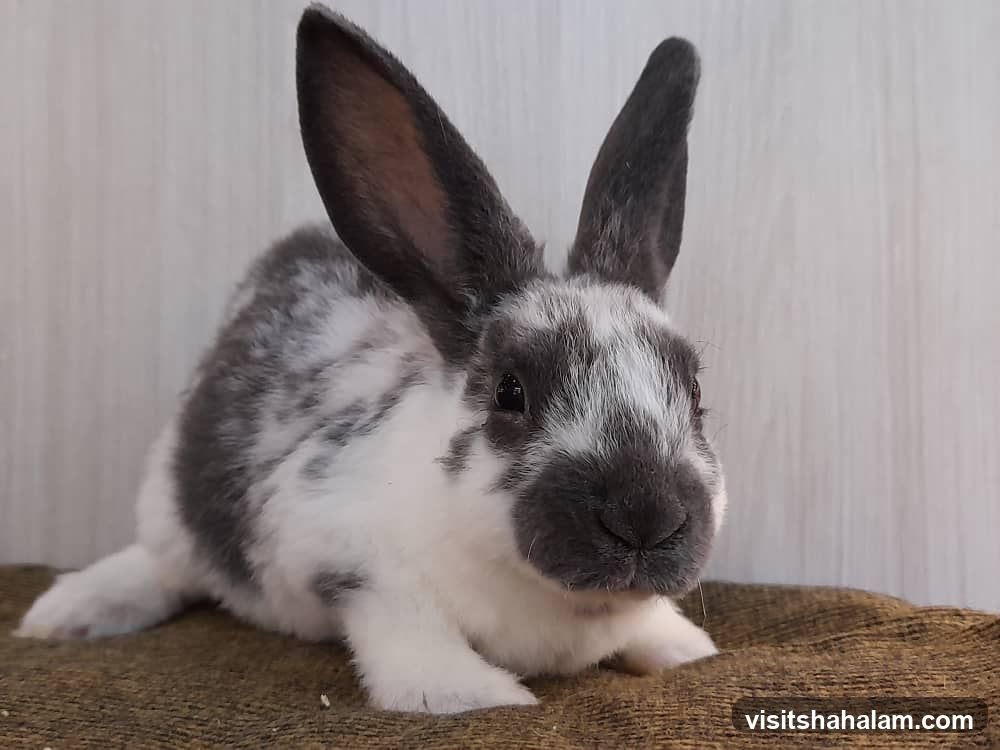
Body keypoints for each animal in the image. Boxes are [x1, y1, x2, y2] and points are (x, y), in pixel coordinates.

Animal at [15, 4, 728, 714]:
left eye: (694, 392)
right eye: (510, 392)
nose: (645, 518)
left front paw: (683, 650)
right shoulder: (348, 558)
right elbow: (405, 631)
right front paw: (469, 695)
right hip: (171, 508)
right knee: (163, 565)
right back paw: (67, 614)